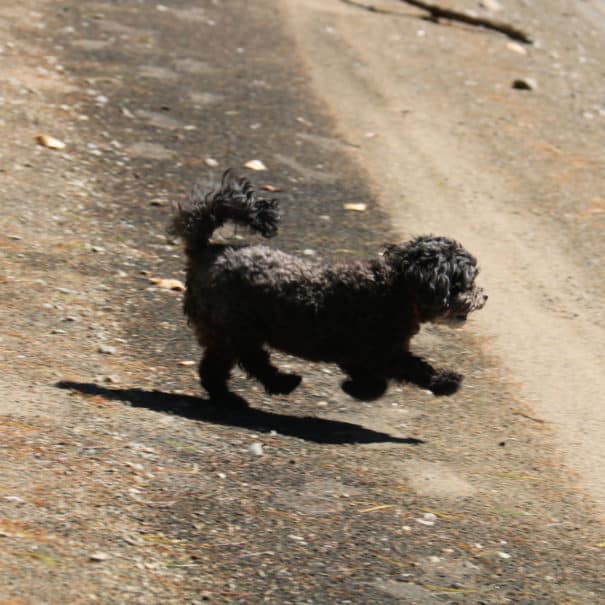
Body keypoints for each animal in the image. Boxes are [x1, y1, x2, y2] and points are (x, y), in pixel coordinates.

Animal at [170, 170, 486, 398]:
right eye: (465, 283)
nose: (484, 296)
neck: (395, 288)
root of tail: (207, 250)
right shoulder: (384, 352)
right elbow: (415, 369)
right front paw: (446, 381)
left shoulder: (360, 355)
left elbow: (372, 378)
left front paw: (358, 389)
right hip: (237, 326)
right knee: (249, 359)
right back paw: (279, 383)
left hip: (223, 330)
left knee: (217, 364)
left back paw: (229, 394)